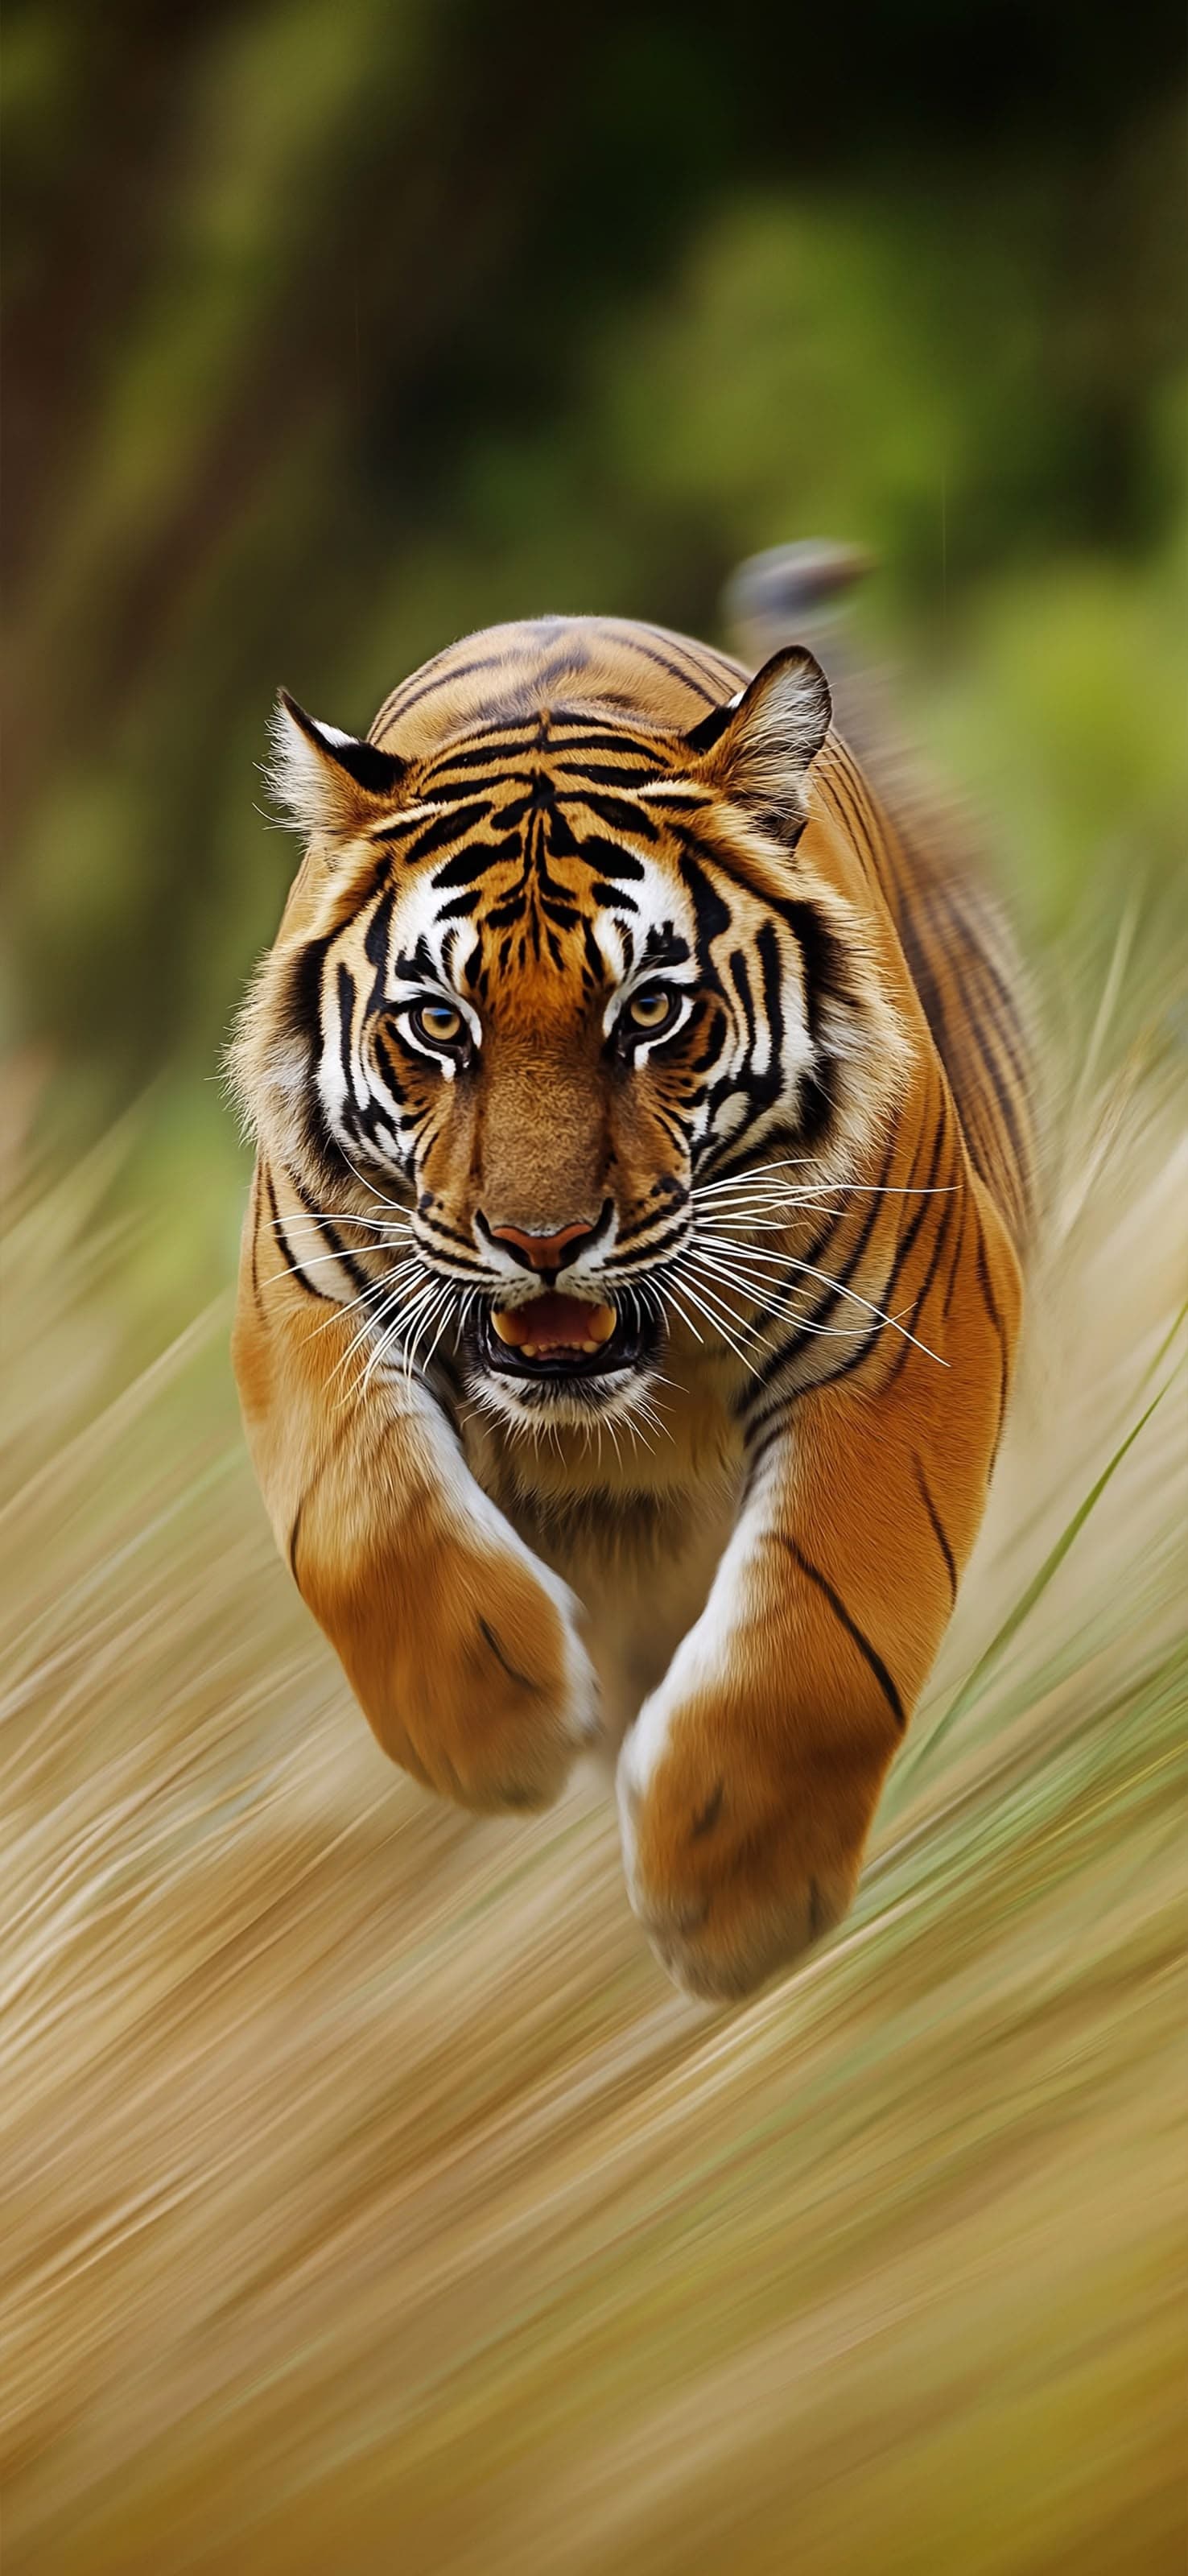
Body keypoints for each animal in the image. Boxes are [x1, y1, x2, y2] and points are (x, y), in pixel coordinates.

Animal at [229, 546, 1032, 2001]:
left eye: (649, 1010)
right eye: (439, 1023)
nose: (541, 1242)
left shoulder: (913, 1328)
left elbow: (825, 1630)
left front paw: (733, 1895)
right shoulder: (302, 1295)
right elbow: (366, 1520)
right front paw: (492, 1722)